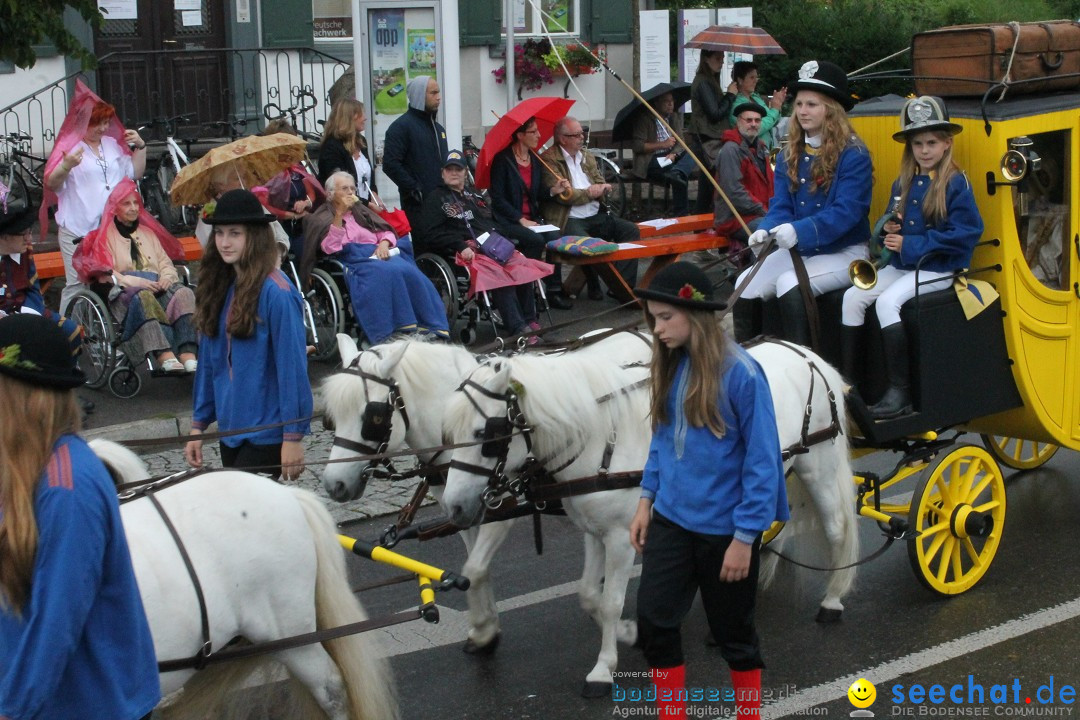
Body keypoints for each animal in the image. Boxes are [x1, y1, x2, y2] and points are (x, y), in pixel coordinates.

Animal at [440, 341, 859, 695]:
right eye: (448, 433)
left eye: (485, 434)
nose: (453, 507)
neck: (603, 438)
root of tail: (807, 354)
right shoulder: (594, 532)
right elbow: (589, 594)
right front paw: (632, 633)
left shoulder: (621, 537)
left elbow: (610, 601)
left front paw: (603, 668)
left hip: (817, 465)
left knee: (837, 528)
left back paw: (833, 600)